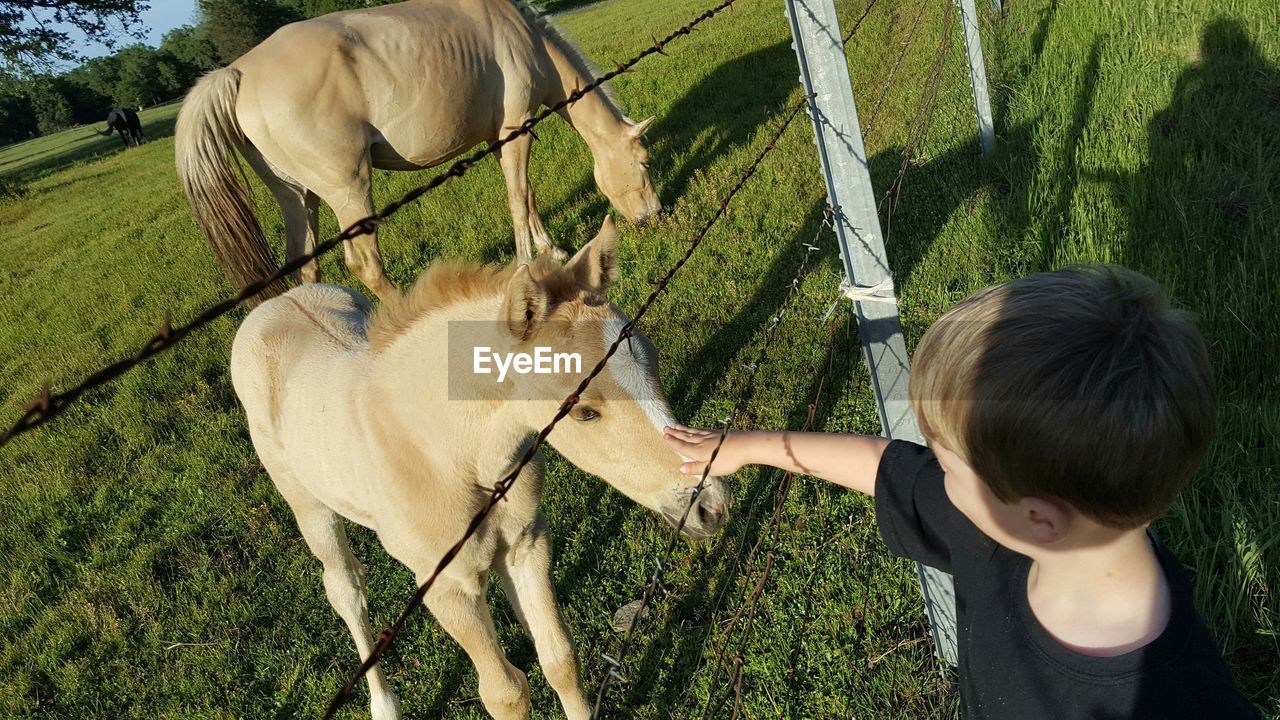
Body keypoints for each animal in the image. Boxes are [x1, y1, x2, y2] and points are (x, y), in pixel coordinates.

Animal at [177, 0, 660, 304]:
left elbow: (528, 194)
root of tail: (238, 72)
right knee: (365, 265)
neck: (527, 40)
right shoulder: (516, 131)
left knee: (305, 266)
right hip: (349, 190)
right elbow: (518, 200)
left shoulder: (502, 137)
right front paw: (528, 264)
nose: (655, 216)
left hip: (298, 197)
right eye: (644, 163)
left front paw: (551, 249)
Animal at [230, 213, 732, 717]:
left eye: (654, 361)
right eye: (584, 410)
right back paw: (384, 704)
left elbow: (559, 659)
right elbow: (505, 693)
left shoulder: (527, 543)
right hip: (308, 506)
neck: (450, 453)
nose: (709, 505)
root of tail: (274, 302)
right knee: (346, 589)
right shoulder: (447, 585)